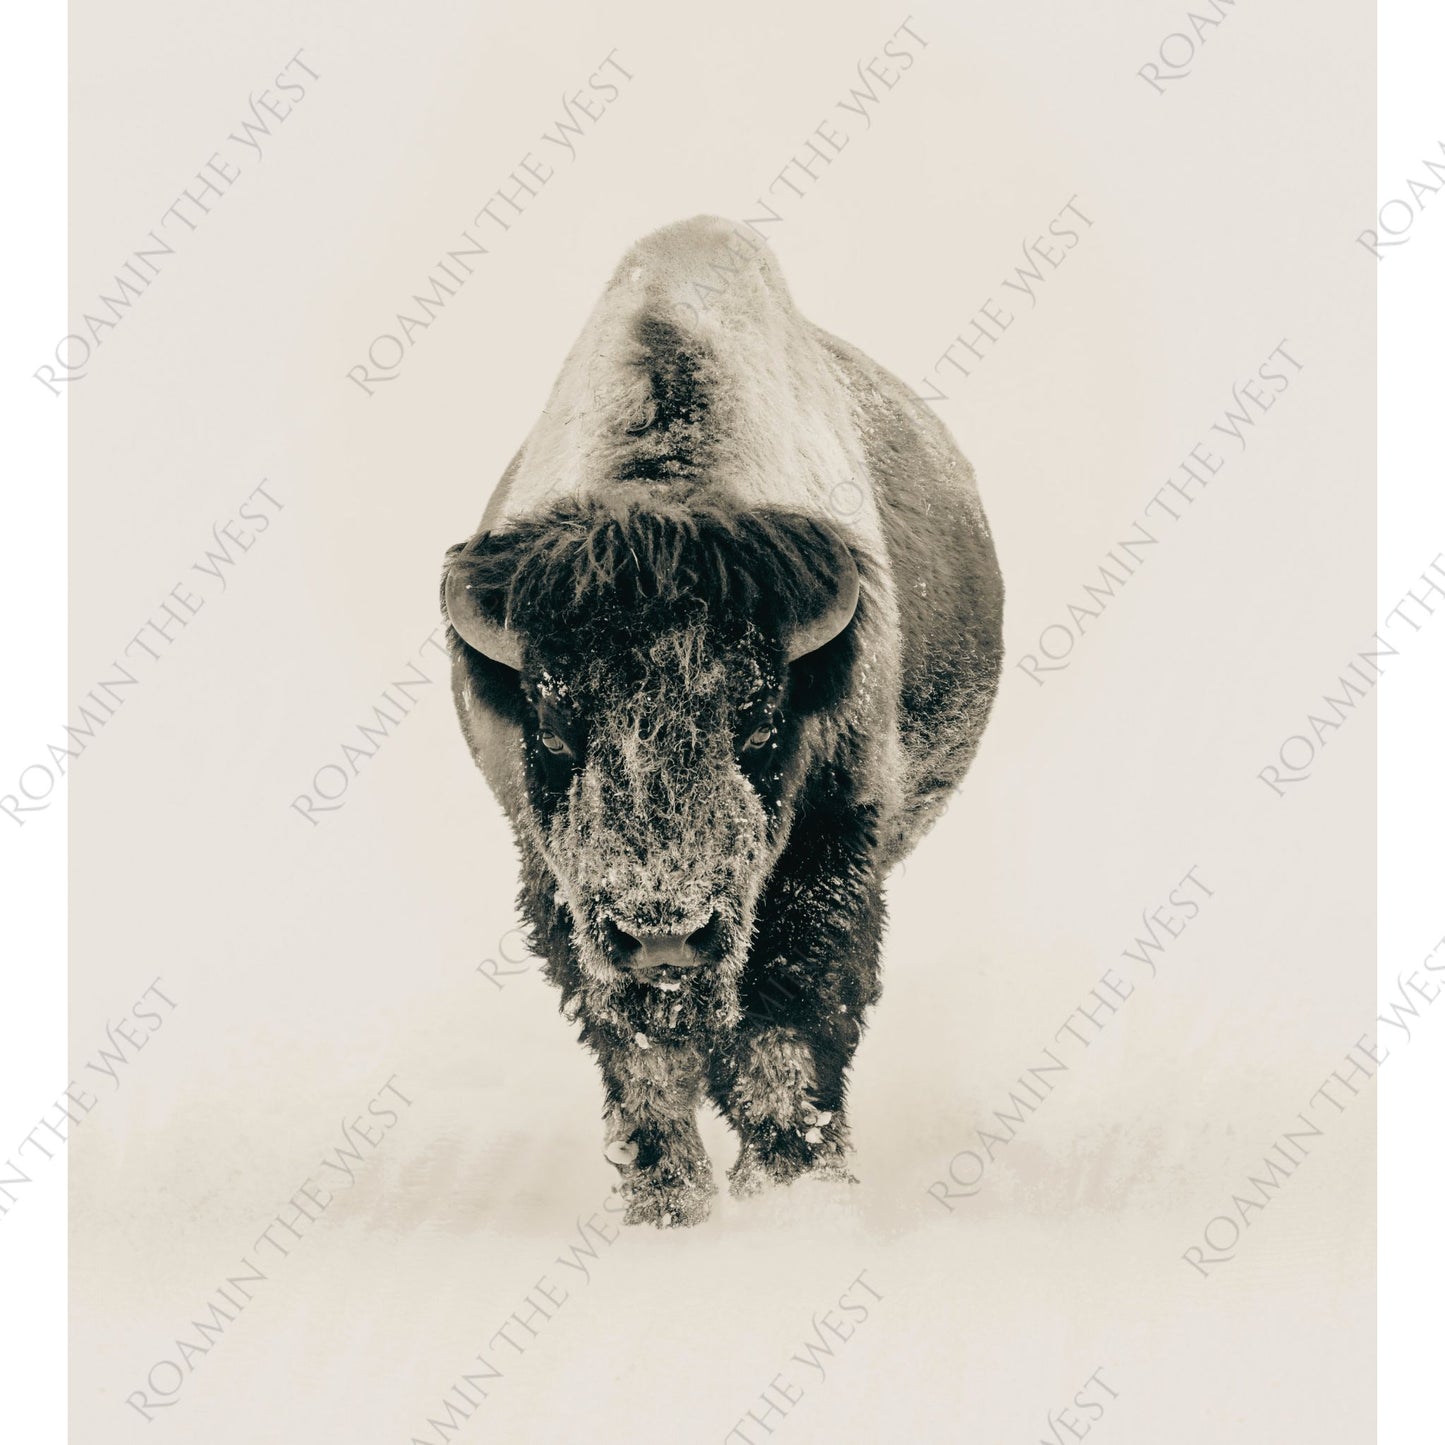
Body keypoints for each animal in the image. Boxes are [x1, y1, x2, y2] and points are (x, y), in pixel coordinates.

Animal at [442, 216, 1003, 1226]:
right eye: (553, 724)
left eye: (758, 720)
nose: (664, 933)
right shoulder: (560, 887)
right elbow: (642, 1059)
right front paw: (669, 1206)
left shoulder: (828, 847)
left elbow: (786, 1026)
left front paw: (790, 1187)